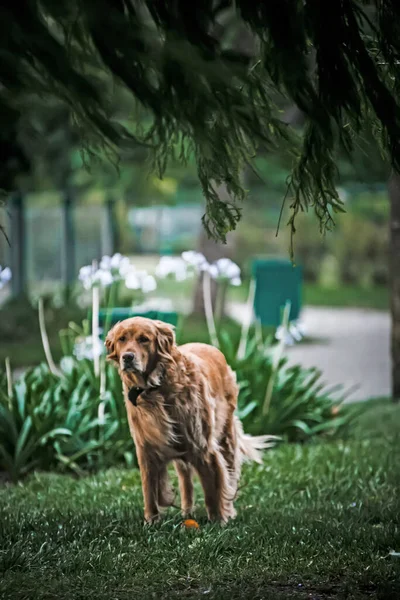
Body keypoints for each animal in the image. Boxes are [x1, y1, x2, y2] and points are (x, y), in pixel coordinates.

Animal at [104, 316, 276, 524]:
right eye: (122, 339)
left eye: (144, 339)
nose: (127, 357)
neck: (156, 388)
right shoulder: (146, 447)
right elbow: (149, 490)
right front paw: (152, 521)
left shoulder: (203, 447)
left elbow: (212, 489)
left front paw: (218, 521)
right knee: (186, 480)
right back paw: (187, 513)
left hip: (225, 436)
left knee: (230, 474)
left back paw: (228, 510)